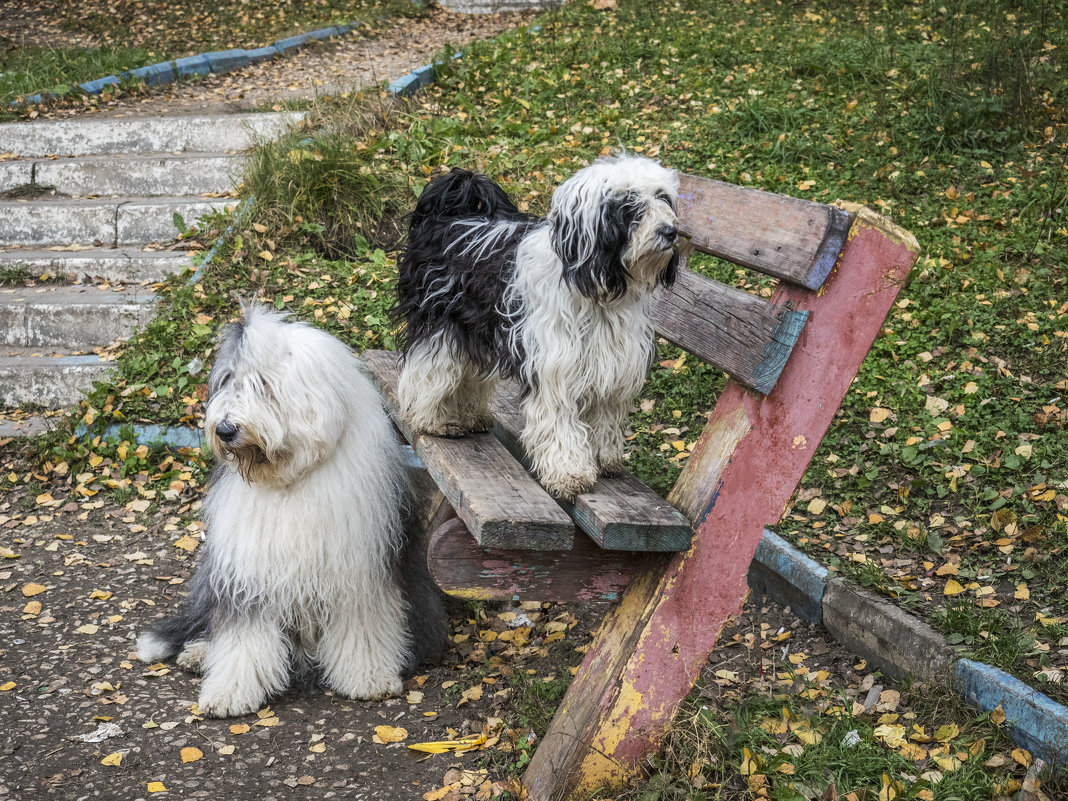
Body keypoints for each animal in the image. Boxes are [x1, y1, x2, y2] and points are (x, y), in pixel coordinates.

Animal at [397, 153, 679, 499]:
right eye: (629, 205)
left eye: (663, 198)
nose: (670, 232)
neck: (596, 287)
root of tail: (448, 218)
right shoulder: (556, 364)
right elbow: (559, 419)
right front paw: (569, 472)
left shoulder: (613, 361)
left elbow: (606, 413)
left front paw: (605, 457)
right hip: (442, 323)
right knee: (429, 367)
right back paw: (434, 419)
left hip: (477, 328)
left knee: (469, 372)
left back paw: (470, 414)